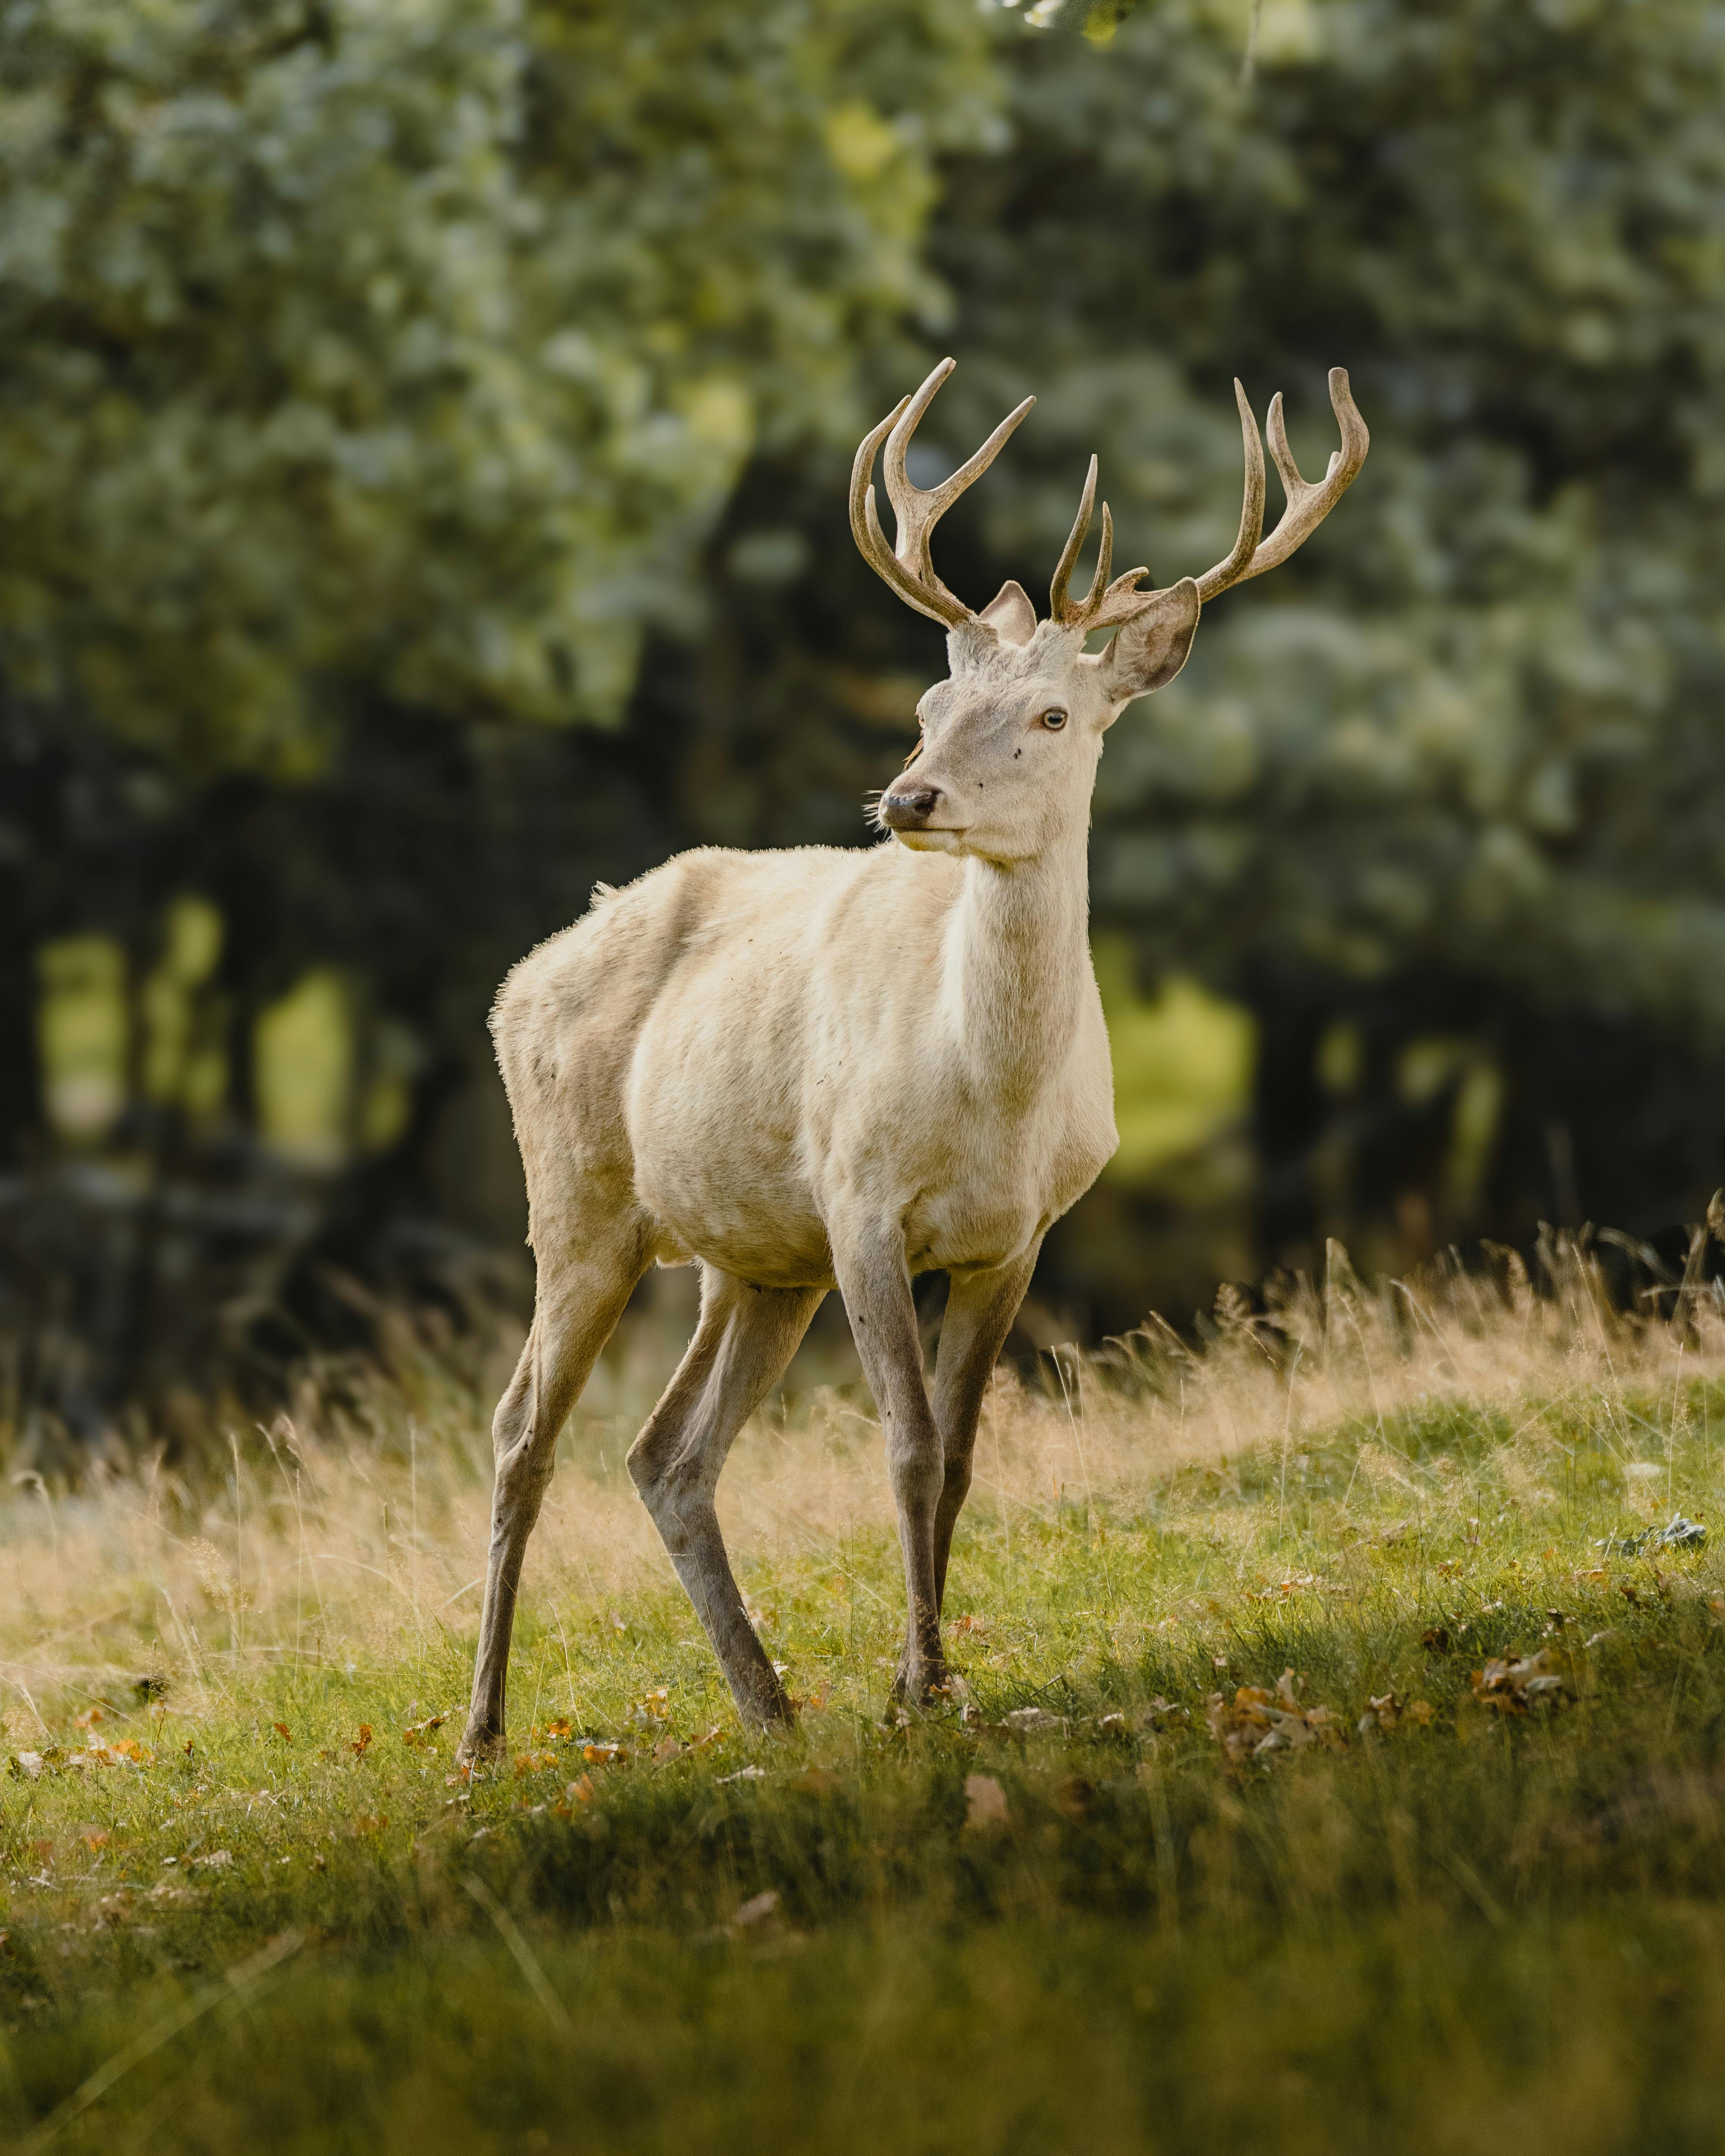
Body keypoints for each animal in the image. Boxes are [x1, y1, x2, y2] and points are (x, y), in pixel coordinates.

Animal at [458, 357, 1368, 1761]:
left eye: (1052, 712)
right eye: (931, 704)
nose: (907, 798)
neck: (989, 1099)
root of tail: (518, 982)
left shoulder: (1021, 1234)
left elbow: (964, 1453)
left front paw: (923, 1682)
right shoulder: (861, 1197)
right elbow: (907, 1446)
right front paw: (920, 1685)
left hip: (753, 1259)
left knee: (667, 1453)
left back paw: (770, 1706)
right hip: (579, 1199)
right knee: (519, 1430)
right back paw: (485, 1731)